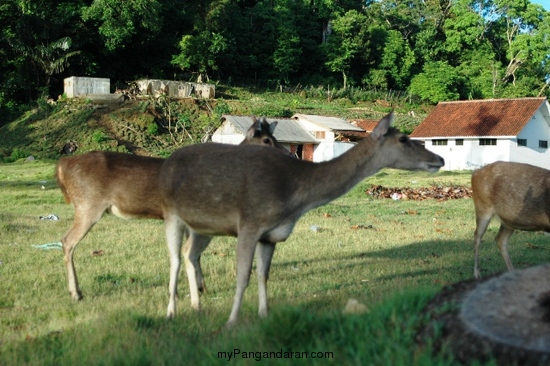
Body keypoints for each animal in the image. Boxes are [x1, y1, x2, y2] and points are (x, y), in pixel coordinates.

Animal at [57, 116, 284, 300]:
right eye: (267, 140)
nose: (287, 156)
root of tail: (62, 165)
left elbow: (193, 254)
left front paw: (200, 288)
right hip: (88, 204)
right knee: (67, 241)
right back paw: (76, 293)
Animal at [158, 111, 444, 326]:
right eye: (404, 139)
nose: (439, 159)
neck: (293, 199)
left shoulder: (270, 235)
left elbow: (263, 275)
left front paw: (264, 314)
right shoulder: (250, 222)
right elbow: (243, 276)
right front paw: (231, 321)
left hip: (199, 224)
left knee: (188, 253)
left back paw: (195, 304)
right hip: (171, 212)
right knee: (175, 258)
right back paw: (172, 311)